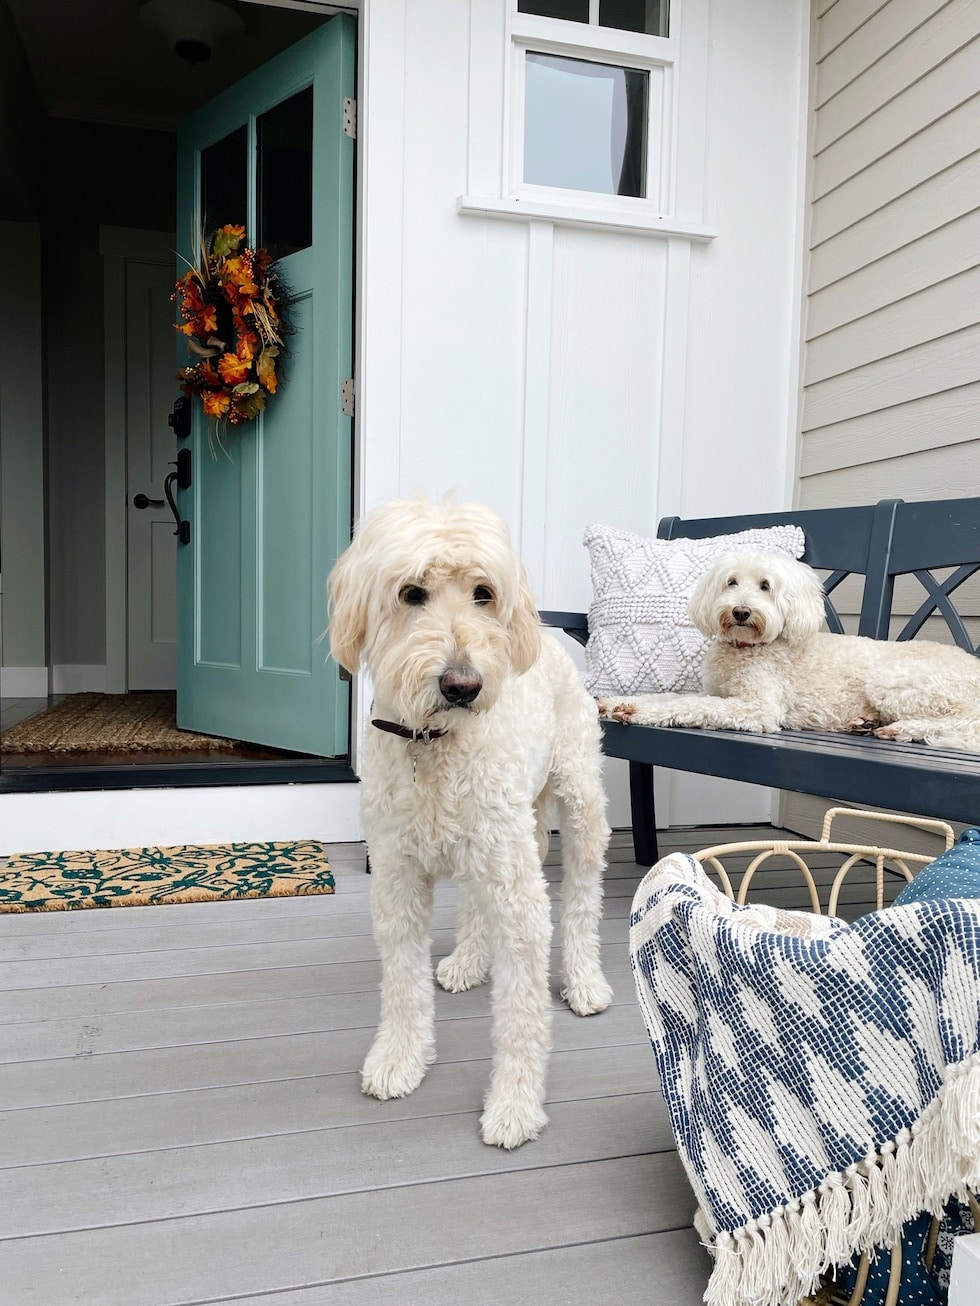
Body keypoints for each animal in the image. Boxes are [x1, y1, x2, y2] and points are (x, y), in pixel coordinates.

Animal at [327, 493, 614, 1149]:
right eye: (411, 593)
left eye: (484, 593)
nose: (463, 684)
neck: (434, 743)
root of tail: (548, 636)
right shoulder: (397, 874)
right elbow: (401, 986)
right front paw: (399, 1059)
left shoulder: (520, 894)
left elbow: (522, 1012)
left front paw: (514, 1104)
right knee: (480, 901)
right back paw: (468, 961)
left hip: (577, 802)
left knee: (583, 899)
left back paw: (584, 979)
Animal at [598, 551, 980, 757]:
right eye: (731, 582)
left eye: (765, 586)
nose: (740, 612)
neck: (748, 648)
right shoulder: (716, 692)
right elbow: (673, 697)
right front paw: (614, 703)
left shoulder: (758, 707)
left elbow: (689, 706)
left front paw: (634, 711)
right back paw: (864, 723)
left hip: (899, 681)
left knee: (966, 723)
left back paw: (902, 729)